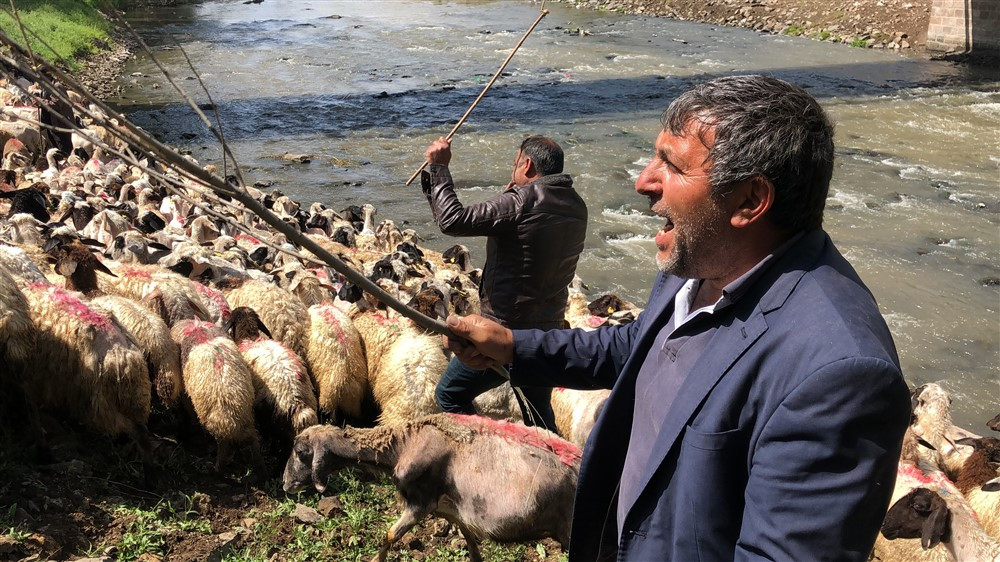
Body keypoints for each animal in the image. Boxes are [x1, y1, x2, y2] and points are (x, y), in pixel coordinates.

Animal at [282, 412, 580, 560]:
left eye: (301, 452)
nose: (285, 485)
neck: (402, 444)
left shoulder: (420, 503)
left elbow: (389, 536)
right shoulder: (453, 510)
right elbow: (471, 544)